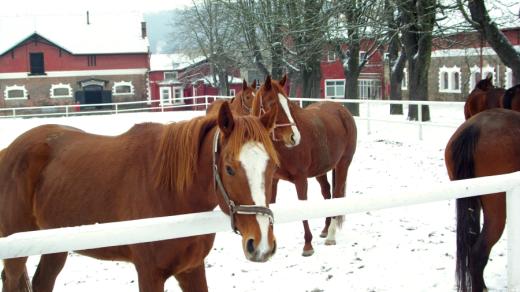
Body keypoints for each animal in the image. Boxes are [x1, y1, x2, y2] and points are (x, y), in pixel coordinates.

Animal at [0, 101, 280, 292]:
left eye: (273, 167)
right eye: (230, 168)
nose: (261, 245)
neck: (171, 194)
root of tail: (9, 150)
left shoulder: (192, 269)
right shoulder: (150, 273)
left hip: (54, 245)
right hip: (16, 253)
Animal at [252, 75, 358, 256]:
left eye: (288, 104)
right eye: (271, 103)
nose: (294, 137)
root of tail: (342, 111)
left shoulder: (301, 179)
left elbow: (303, 208)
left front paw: (308, 245)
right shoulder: (272, 180)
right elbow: (271, 206)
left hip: (343, 164)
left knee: (336, 195)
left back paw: (331, 235)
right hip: (321, 170)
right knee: (327, 193)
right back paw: (325, 229)